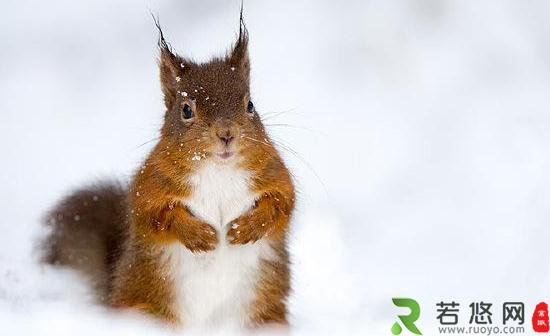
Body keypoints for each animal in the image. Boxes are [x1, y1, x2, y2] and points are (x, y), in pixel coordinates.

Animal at [42, 14, 298, 330]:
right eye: (186, 110)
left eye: (250, 105)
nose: (227, 133)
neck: (218, 170)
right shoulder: (150, 183)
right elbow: (156, 215)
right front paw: (201, 236)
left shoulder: (273, 173)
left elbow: (282, 203)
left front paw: (244, 229)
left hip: (264, 317)